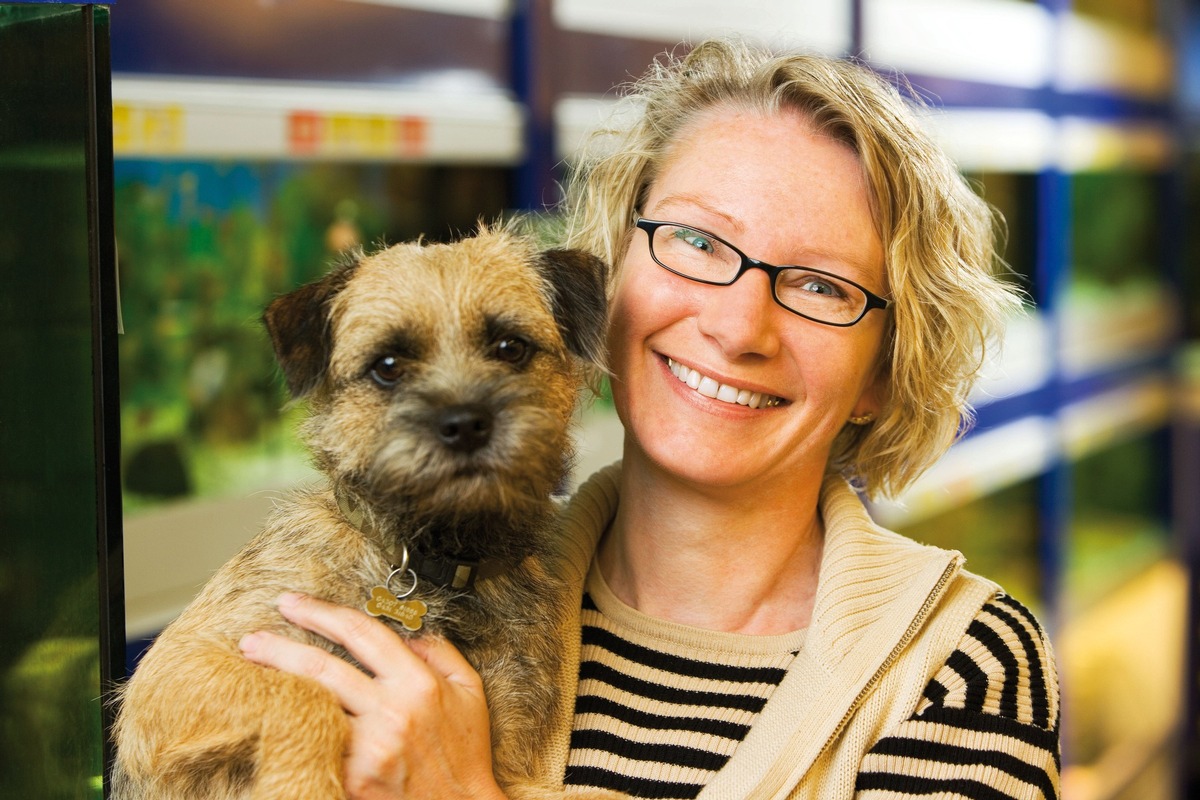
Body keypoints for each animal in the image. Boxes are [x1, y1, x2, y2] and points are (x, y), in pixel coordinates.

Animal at [110, 226, 609, 800]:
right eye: (387, 366)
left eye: (511, 347)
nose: (465, 423)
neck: (434, 564)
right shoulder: (177, 672)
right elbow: (302, 693)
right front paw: (304, 784)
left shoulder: (510, 769)